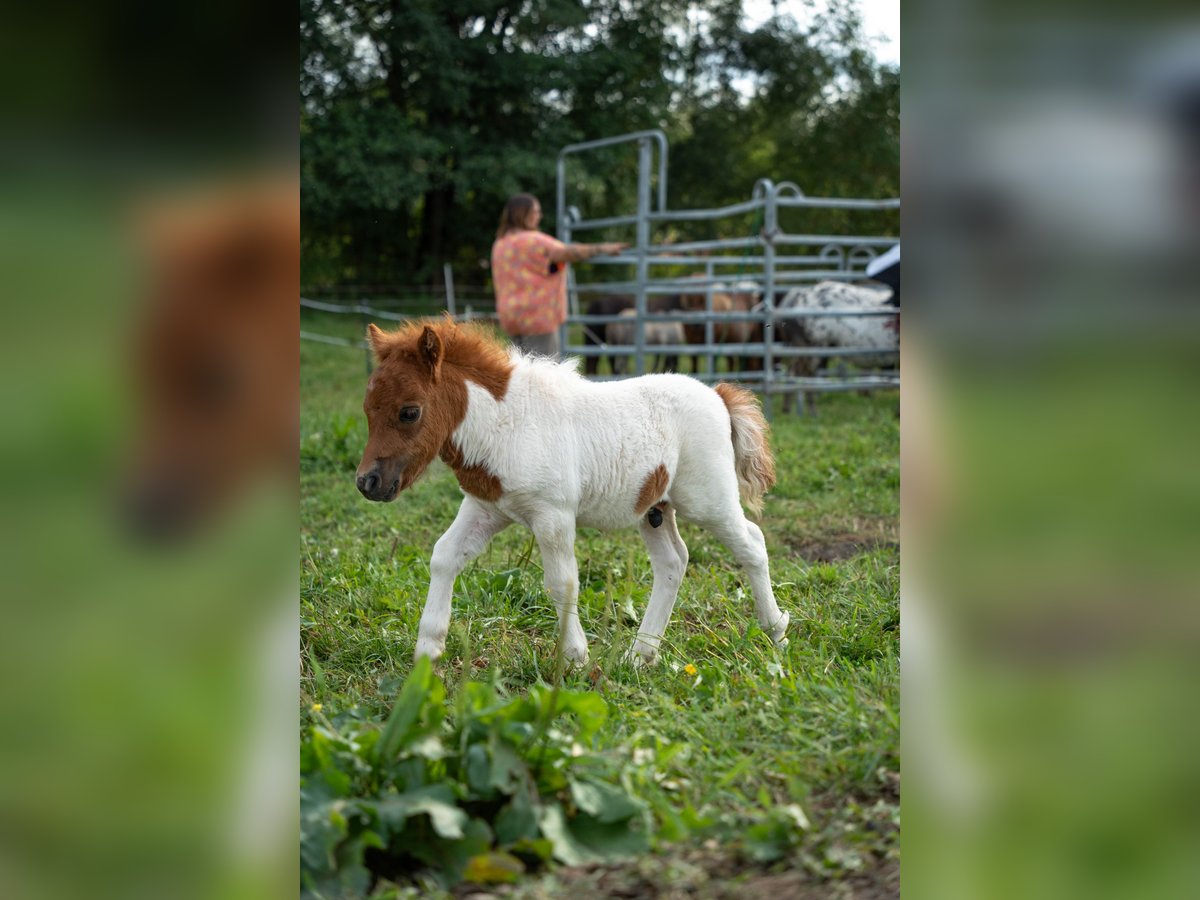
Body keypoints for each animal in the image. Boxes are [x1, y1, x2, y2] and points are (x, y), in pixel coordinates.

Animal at [352, 321, 787, 667]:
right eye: (367, 409)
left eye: (410, 412)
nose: (367, 483)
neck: (506, 424)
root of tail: (719, 396)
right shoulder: (486, 508)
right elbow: (444, 556)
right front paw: (427, 650)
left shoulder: (553, 516)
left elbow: (562, 582)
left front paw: (575, 657)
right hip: (654, 508)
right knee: (673, 563)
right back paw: (640, 654)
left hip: (707, 500)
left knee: (752, 543)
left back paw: (776, 631)